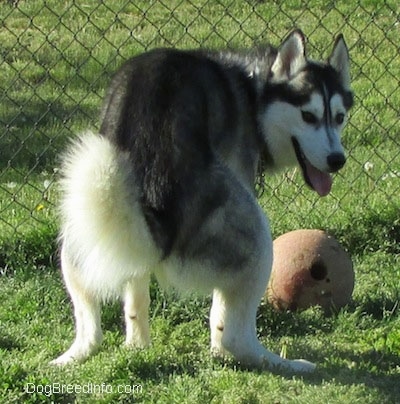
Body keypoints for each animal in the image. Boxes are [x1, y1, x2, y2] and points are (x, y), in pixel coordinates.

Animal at [50, 30, 354, 372]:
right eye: (308, 116)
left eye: (339, 117)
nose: (337, 160)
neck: (253, 90)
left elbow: (135, 293)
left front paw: (137, 344)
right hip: (257, 236)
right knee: (233, 337)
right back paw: (280, 362)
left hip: (80, 232)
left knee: (91, 331)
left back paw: (75, 356)